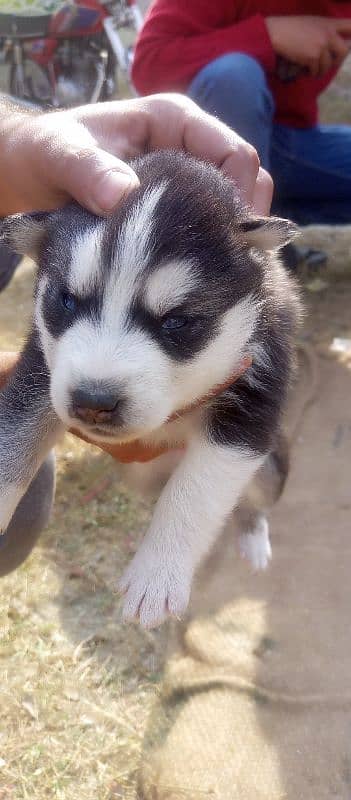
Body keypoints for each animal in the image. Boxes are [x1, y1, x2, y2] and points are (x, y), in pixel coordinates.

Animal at [0, 148, 302, 624]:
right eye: (67, 300)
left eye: (176, 321)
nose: (93, 402)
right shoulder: (39, 372)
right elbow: (12, 445)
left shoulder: (253, 396)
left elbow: (194, 494)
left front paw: (157, 576)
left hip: (272, 463)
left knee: (252, 500)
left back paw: (252, 536)